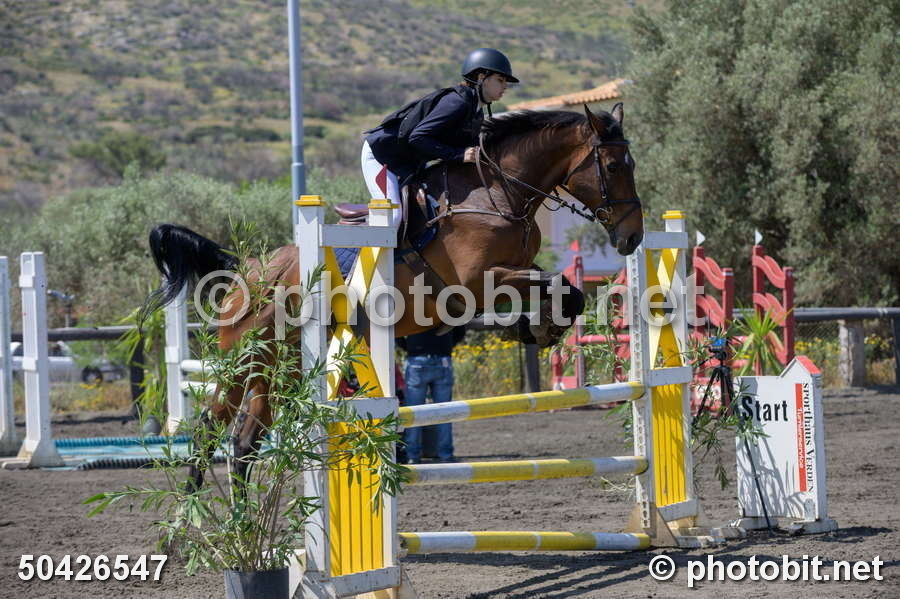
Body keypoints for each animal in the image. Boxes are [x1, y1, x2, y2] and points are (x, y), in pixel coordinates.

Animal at [142, 104, 642, 489]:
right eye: (615, 167)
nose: (633, 238)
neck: (497, 193)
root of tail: (248, 269)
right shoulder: (474, 283)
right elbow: (555, 285)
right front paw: (538, 326)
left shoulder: (514, 269)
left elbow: (563, 288)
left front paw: (540, 327)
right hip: (244, 362)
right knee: (208, 432)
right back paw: (192, 524)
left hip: (280, 370)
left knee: (244, 442)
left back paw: (242, 522)